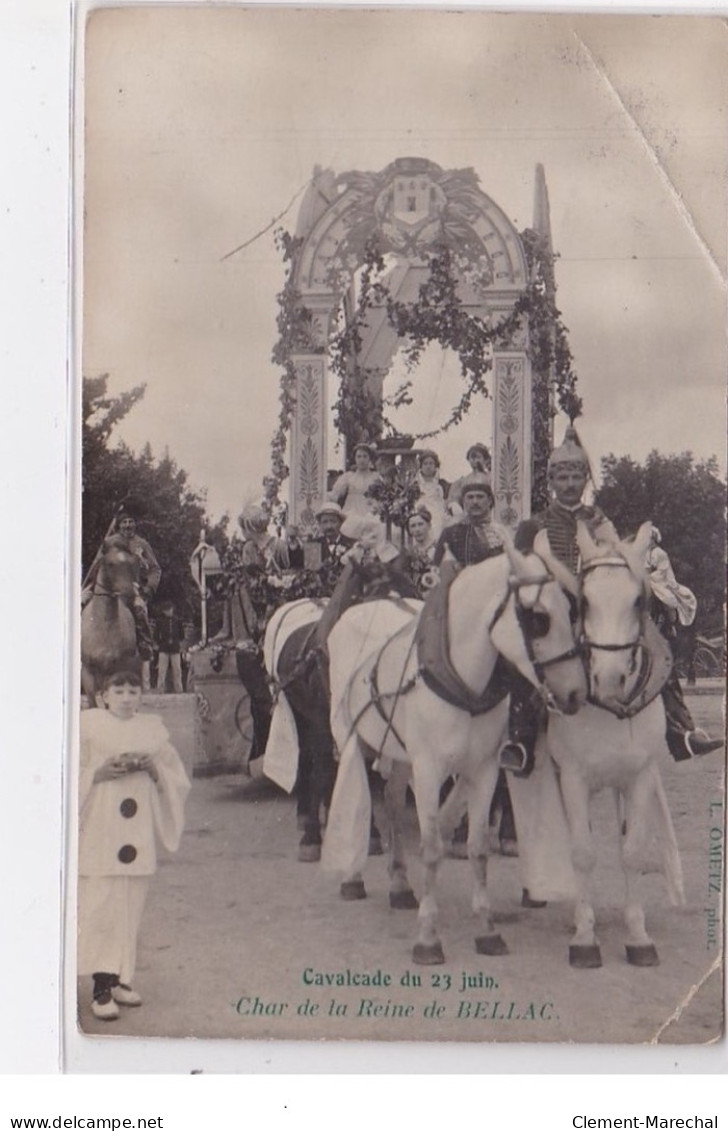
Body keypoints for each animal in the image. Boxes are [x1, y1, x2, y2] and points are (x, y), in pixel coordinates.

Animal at [323, 533, 587, 968]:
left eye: (572, 610)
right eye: (538, 618)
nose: (576, 693)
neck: (462, 678)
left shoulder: (483, 770)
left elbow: (478, 848)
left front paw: (488, 931)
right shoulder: (429, 769)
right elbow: (431, 848)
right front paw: (428, 938)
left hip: (399, 752)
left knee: (391, 800)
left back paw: (400, 885)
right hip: (352, 735)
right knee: (361, 795)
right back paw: (351, 876)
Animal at [549, 522, 687, 972]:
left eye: (638, 600)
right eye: (584, 600)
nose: (608, 678)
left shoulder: (638, 776)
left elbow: (632, 852)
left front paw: (638, 935)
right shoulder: (572, 777)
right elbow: (583, 853)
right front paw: (585, 937)